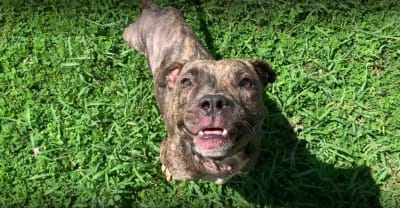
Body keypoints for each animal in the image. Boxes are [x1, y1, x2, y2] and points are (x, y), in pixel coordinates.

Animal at [122, 0, 276, 184]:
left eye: (246, 83)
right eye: (186, 82)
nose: (213, 102)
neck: (219, 162)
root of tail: (153, 8)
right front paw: (167, 170)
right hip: (132, 36)